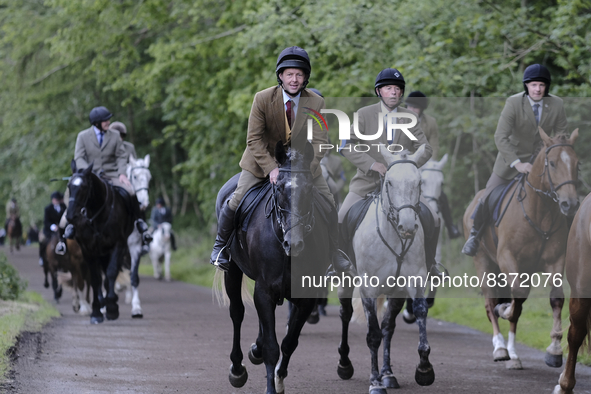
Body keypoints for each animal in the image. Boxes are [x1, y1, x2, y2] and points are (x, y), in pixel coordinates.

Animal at [67, 160, 134, 324]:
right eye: (69, 185)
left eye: (84, 187)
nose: (71, 215)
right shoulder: (88, 250)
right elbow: (95, 279)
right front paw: (96, 312)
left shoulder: (118, 245)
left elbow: (111, 273)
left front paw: (112, 309)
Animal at [214, 142, 332, 394]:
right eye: (278, 189)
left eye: (309, 189)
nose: (293, 243)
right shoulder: (264, 290)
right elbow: (271, 346)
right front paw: (270, 386)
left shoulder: (305, 297)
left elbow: (289, 342)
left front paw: (279, 379)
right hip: (233, 270)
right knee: (237, 313)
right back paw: (237, 369)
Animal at [338, 145, 434, 394]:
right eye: (389, 182)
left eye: (419, 182)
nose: (408, 226)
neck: (395, 237)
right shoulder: (368, 289)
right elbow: (372, 335)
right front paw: (374, 382)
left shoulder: (413, 283)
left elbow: (417, 316)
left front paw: (424, 369)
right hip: (345, 279)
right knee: (345, 314)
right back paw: (344, 365)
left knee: (388, 327)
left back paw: (388, 374)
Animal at [462, 127, 580, 370]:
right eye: (552, 163)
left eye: (577, 163)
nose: (570, 204)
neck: (541, 211)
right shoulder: (508, 258)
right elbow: (515, 302)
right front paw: (505, 313)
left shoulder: (555, 260)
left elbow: (555, 298)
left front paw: (554, 350)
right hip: (483, 262)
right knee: (490, 302)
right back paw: (500, 347)